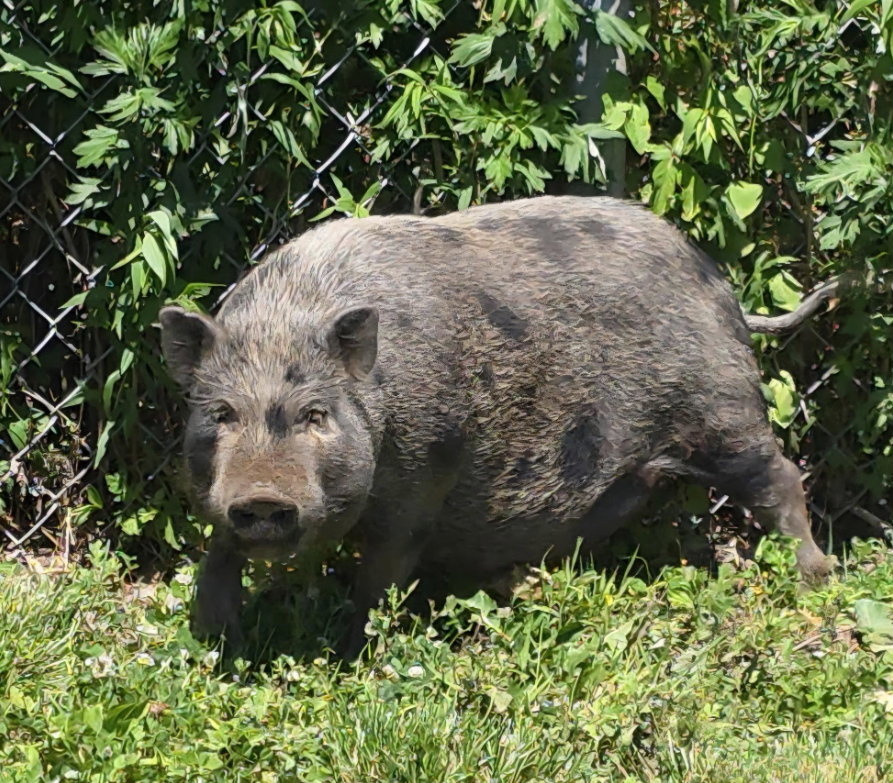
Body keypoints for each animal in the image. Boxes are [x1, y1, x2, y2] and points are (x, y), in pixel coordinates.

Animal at [159, 196, 837, 656]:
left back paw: (814, 578)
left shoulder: (422, 481)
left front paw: (352, 658)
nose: (263, 497)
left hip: (722, 409)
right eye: (222, 414)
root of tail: (720, 286)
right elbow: (217, 556)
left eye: (315, 415)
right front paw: (211, 641)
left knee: (781, 476)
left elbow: (378, 582)